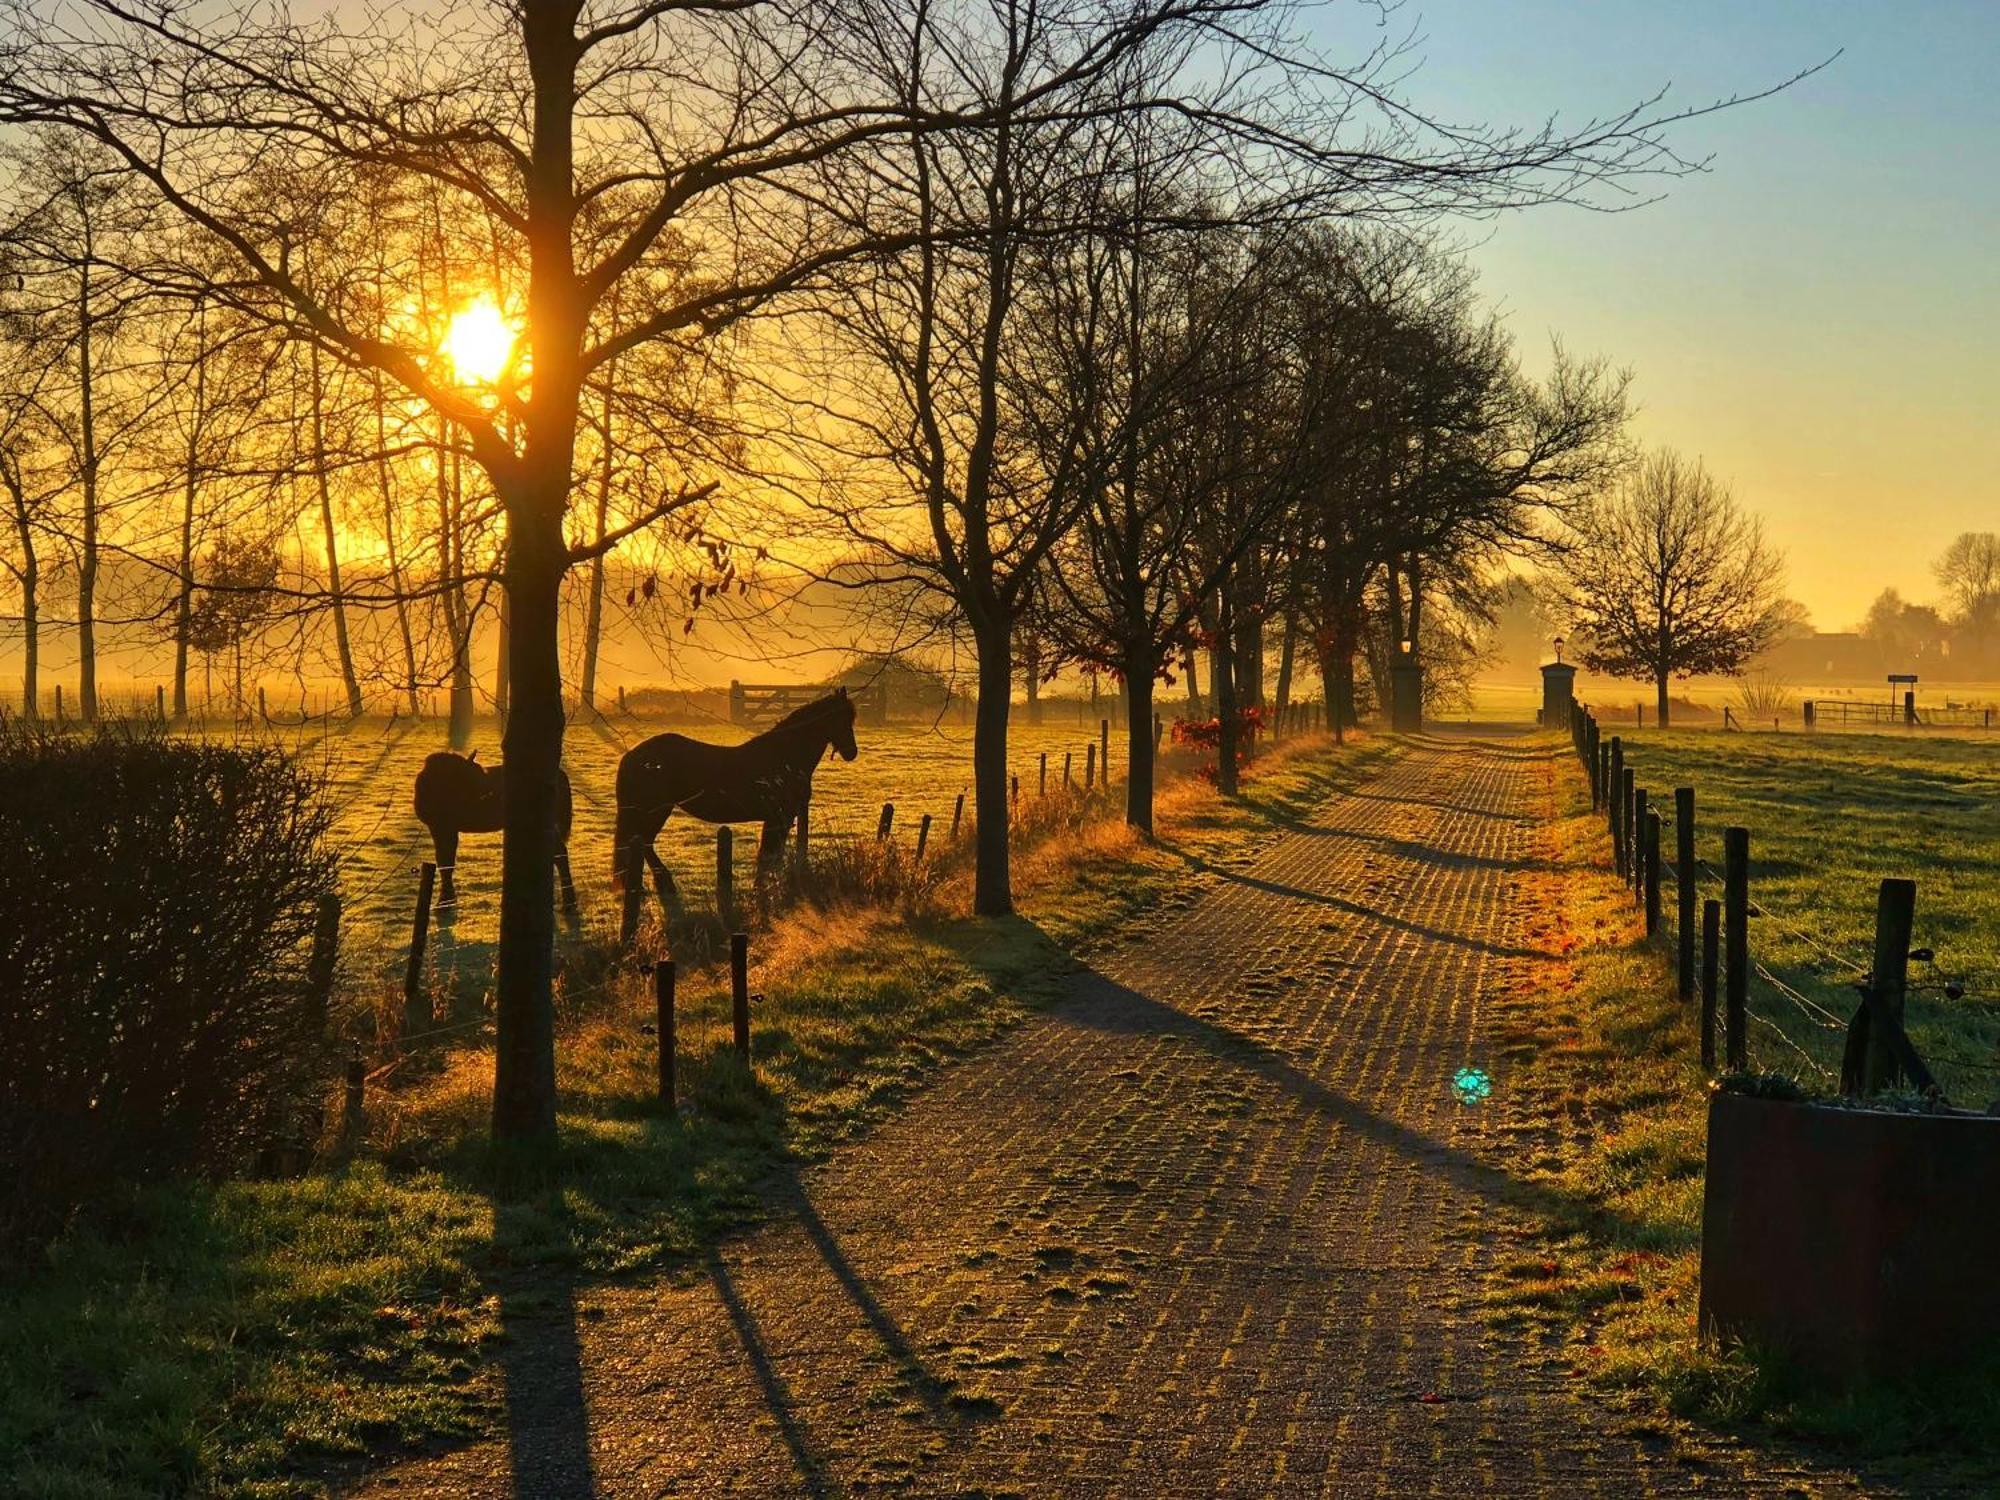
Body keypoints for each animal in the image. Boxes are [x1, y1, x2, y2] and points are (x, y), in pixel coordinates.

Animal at [412, 748, 576, 904]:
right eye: (473, 775)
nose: (490, 793)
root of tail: (559, 775)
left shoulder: (444, 828)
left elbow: (446, 862)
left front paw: (445, 899)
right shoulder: (441, 828)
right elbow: (444, 861)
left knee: (560, 854)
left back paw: (569, 899)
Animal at [608, 688, 860, 924]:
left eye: (851, 717)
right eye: (839, 717)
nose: (851, 752)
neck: (783, 757)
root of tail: (633, 755)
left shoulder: (780, 819)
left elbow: (770, 857)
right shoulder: (778, 818)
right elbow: (769, 856)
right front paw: (767, 892)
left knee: (642, 843)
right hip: (655, 810)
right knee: (644, 843)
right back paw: (664, 885)